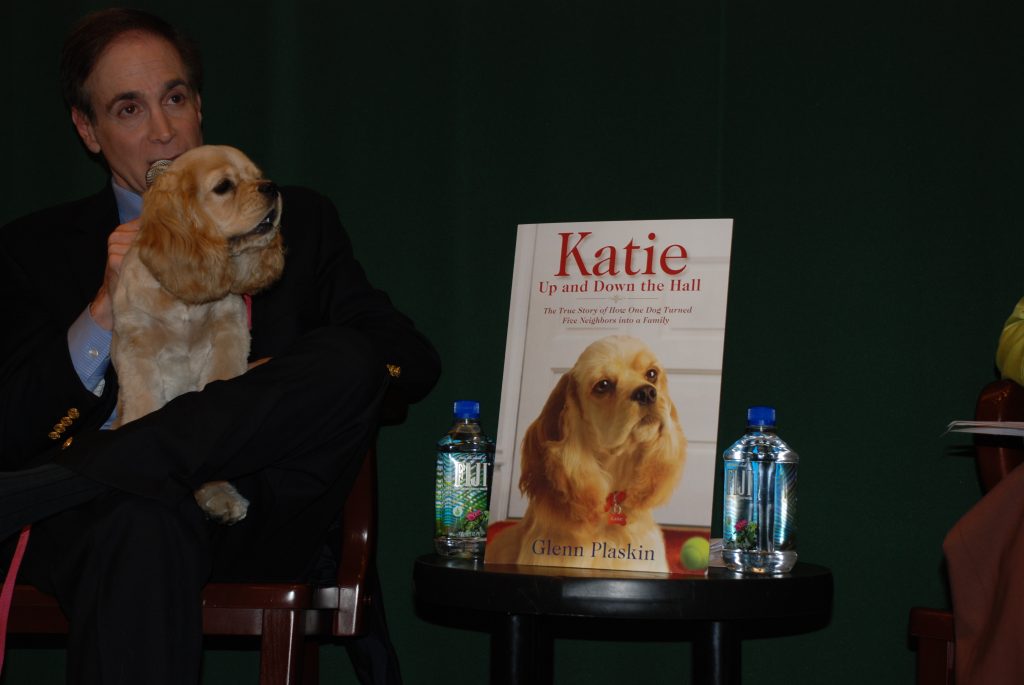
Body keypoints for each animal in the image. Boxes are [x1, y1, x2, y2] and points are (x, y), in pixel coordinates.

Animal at [111, 144, 284, 524]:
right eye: (224, 187)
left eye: (259, 175)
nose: (272, 187)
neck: (184, 301)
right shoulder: (136, 349)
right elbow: (143, 410)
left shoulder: (228, 338)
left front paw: (218, 493)